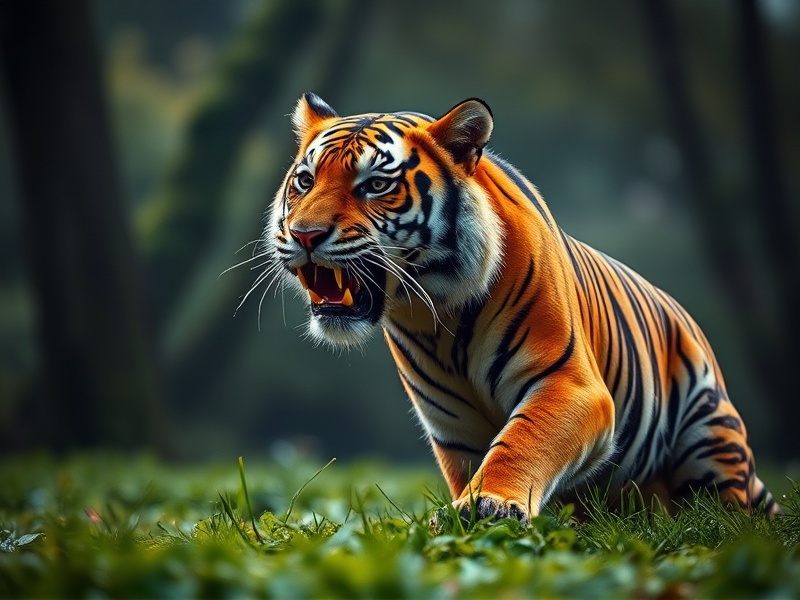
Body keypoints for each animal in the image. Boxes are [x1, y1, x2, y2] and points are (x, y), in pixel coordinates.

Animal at [262, 92, 779, 521]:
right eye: (304, 181)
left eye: (374, 185)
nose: (304, 235)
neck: (436, 313)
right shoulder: (451, 425)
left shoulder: (570, 382)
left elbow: (521, 440)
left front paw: (489, 504)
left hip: (709, 427)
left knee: (723, 513)